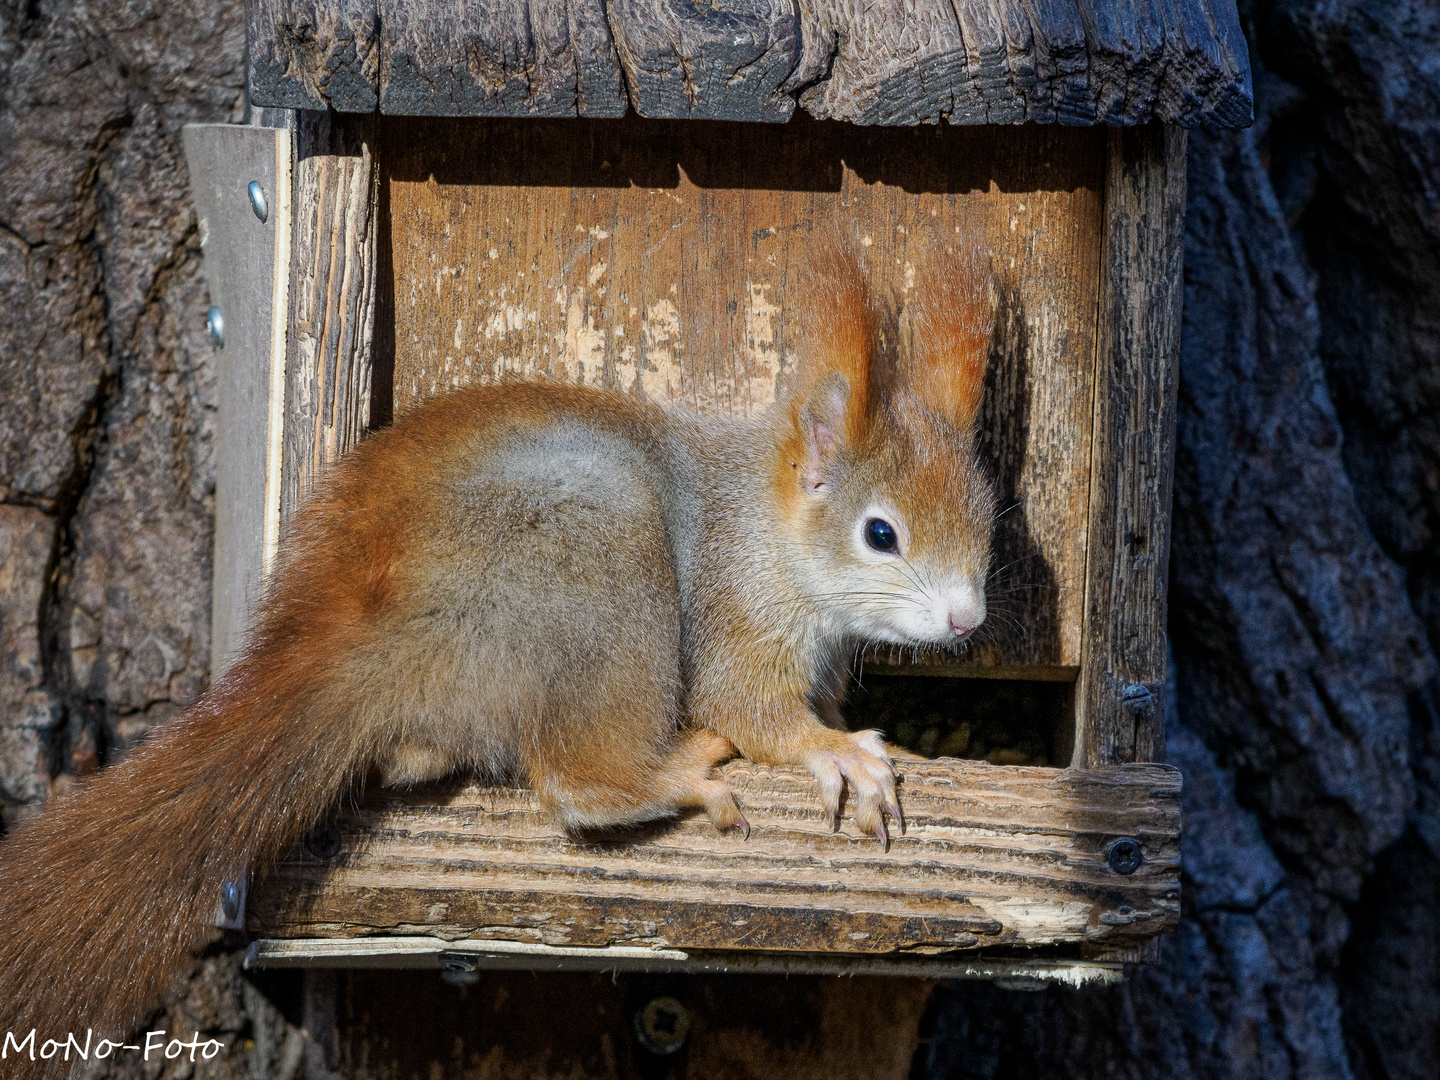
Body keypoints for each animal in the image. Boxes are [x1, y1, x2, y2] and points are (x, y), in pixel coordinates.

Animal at [0, 240, 996, 1059]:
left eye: (989, 521)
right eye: (880, 534)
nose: (966, 621)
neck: (772, 531)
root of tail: (363, 644)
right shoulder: (733, 609)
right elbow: (747, 704)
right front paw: (838, 752)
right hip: (598, 556)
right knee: (576, 781)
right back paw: (673, 773)